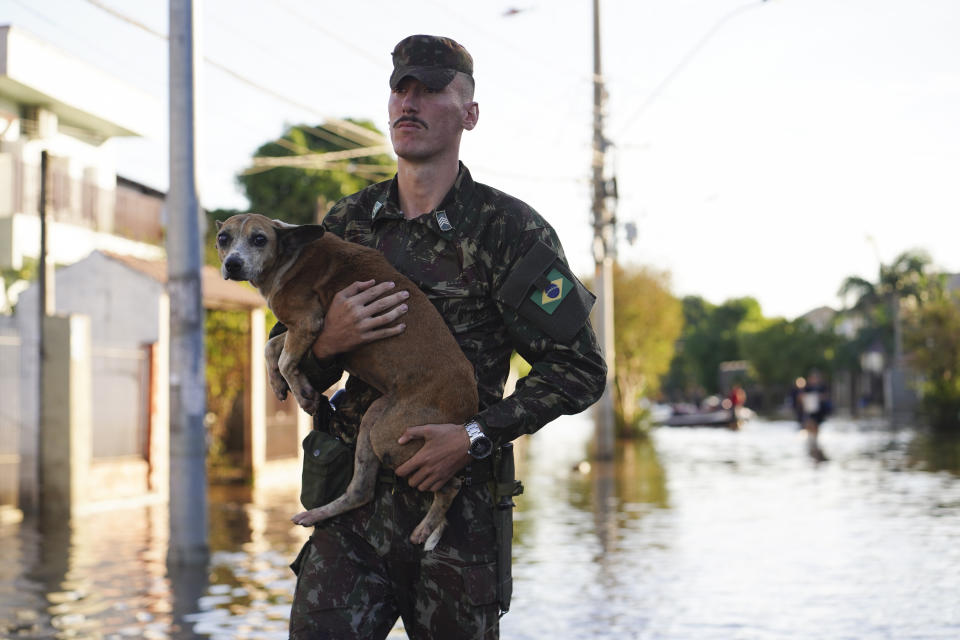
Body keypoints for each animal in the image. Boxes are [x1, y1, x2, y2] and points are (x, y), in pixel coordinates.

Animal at [214, 212, 476, 548]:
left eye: (259, 239)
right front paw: (277, 383)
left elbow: (284, 358)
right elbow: (270, 347)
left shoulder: (307, 322)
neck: (290, 255)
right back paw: (317, 513)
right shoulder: (311, 329)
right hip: (375, 421)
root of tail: (469, 401)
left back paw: (425, 528)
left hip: (395, 439)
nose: (232, 264)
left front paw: (302, 392)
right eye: (223, 238)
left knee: (451, 485)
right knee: (361, 491)